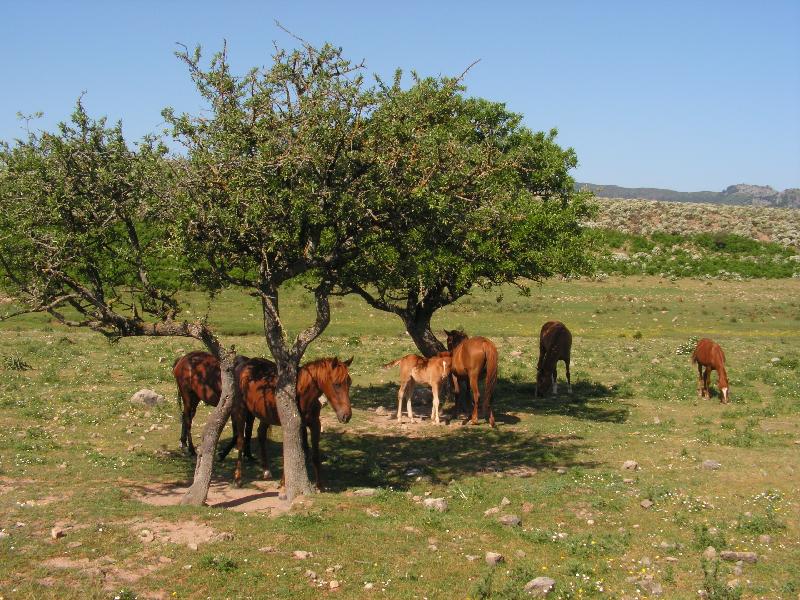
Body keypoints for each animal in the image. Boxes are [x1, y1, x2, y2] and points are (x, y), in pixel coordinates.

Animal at [233, 356, 354, 492]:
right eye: (336, 384)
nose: (346, 415)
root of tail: (246, 363)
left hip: (265, 415)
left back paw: (266, 471)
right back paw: (238, 479)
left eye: (349, 383)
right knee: (240, 441)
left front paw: (320, 486)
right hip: (241, 409)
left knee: (261, 434)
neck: (301, 393)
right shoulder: (291, 426)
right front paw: (283, 483)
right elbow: (290, 453)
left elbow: (313, 455)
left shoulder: (314, 425)